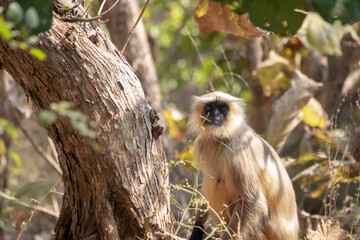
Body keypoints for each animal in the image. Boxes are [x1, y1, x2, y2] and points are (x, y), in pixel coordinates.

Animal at [187, 92, 300, 240]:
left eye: (223, 108)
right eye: (209, 108)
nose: (216, 115)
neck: (222, 139)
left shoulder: (237, 153)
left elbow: (252, 200)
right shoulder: (201, 144)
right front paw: (196, 231)